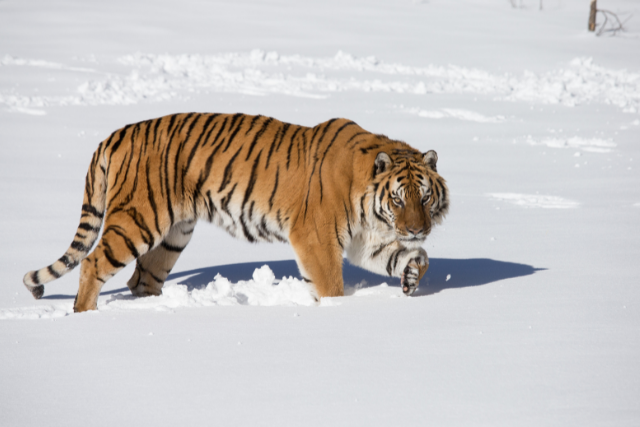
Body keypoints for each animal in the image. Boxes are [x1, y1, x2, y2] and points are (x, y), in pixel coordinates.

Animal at [23, 113, 449, 312]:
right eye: (398, 199)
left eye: (425, 198)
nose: (417, 229)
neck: (370, 208)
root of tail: (116, 134)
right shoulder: (317, 237)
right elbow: (331, 285)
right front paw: (334, 310)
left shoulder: (365, 241)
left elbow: (415, 257)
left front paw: (412, 276)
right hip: (137, 221)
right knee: (93, 262)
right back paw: (87, 316)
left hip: (174, 233)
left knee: (141, 278)